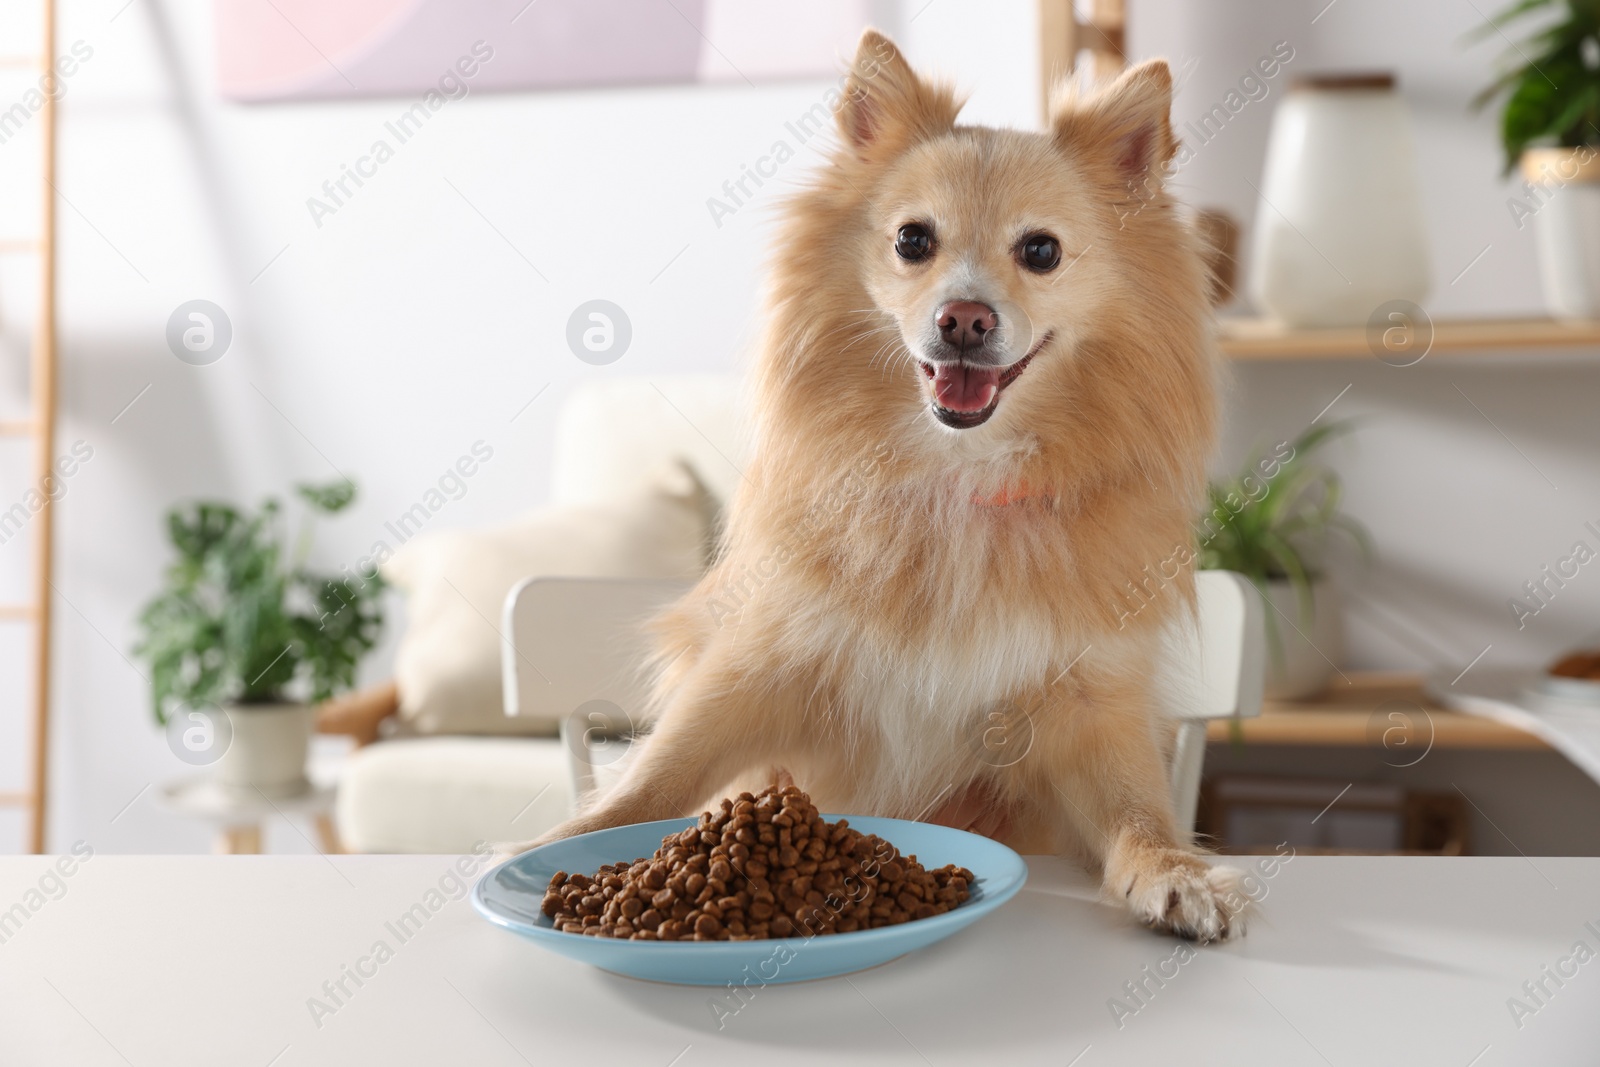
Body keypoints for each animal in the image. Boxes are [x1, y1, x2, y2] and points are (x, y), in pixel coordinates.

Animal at [531, 29, 1241, 940]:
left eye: (1041, 251)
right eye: (912, 241)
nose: (964, 319)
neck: (956, 473)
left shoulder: (1089, 703)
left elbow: (1137, 810)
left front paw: (1176, 872)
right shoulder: (759, 663)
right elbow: (660, 772)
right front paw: (558, 845)